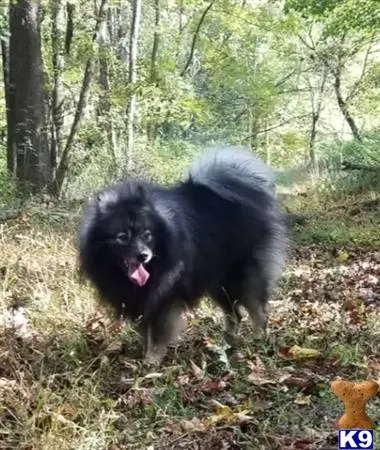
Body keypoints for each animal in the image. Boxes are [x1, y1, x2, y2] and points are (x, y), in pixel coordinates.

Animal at [80, 146, 288, 364]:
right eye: (122, 237)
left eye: (147, 234)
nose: (144, 255)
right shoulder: (141, 300)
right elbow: (145, 332)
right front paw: (143, 354)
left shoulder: (163, 298)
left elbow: (157, 334)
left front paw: (151, 360)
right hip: (217, 283)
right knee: (234, 315)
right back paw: (227, 344)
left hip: (243, 277)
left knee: (258, 312)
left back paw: (259, 341)